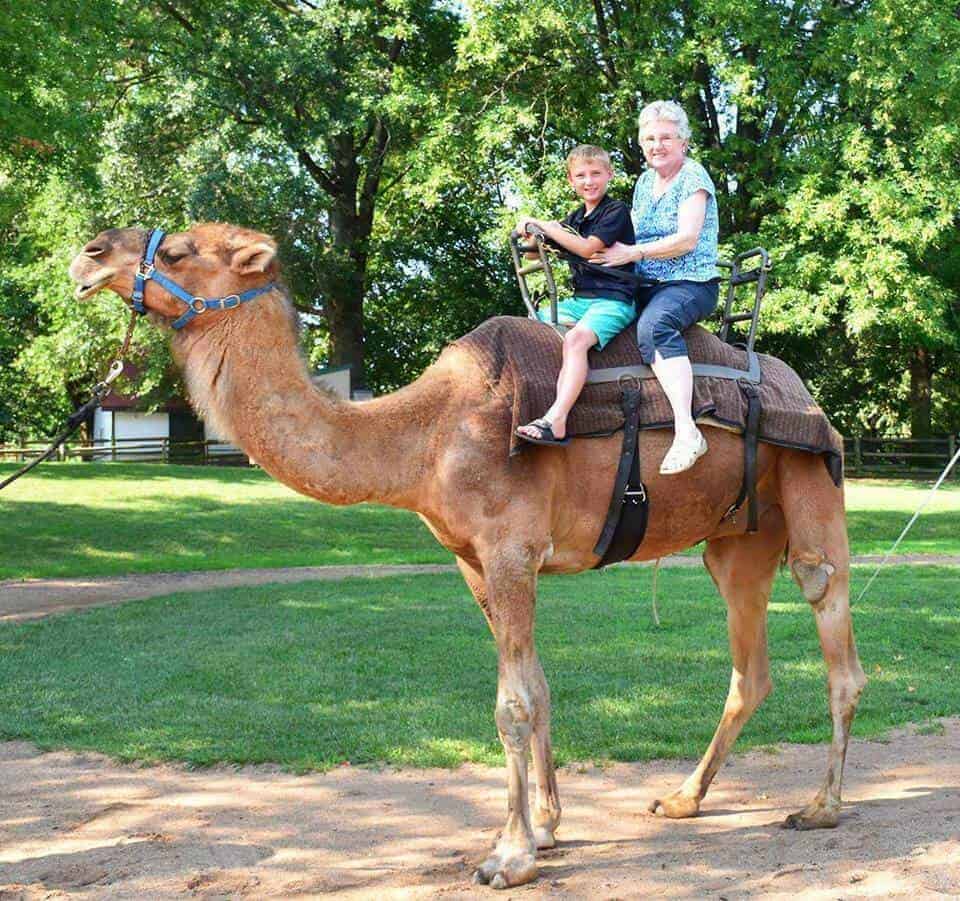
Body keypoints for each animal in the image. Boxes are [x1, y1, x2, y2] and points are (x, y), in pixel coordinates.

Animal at [71, 223, 872, 884]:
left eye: (179, 250)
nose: (89, 253)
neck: (427, 435)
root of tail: (806, 393)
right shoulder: (473, 561)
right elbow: (537, 686)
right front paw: (543, 828)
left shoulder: (512, 547)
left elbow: (511, 703)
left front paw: (509, 857)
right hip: (737, 540)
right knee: (749, 667)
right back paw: (681, 799)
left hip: (810, 488)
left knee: (832, 625)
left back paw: (820, 806)